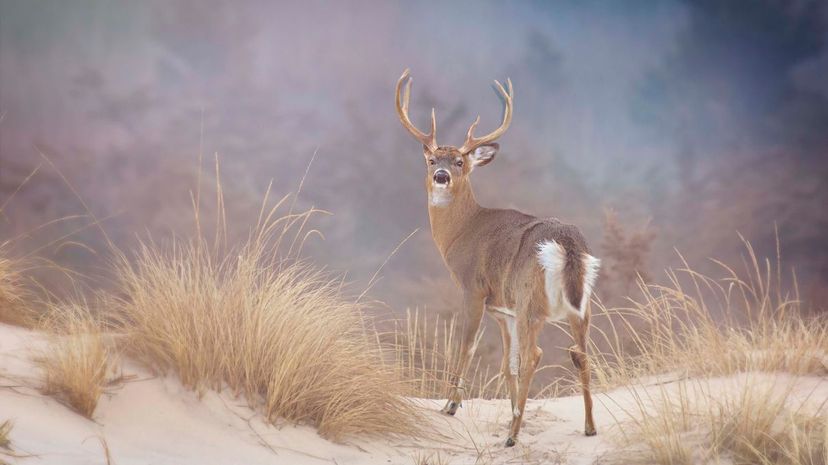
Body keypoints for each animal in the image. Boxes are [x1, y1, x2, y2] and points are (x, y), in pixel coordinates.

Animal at [392, 69, 600, 446]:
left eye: (459, 162)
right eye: (431, 160)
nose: (440, 176)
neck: (463, 232)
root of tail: (567, 244)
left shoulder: (474, 290)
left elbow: (466, 346)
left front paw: (450, 405)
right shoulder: (504, 311)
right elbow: (508, 365)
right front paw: (511, 411)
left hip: (531, 301)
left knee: (536, 355)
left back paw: (513, 436)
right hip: (580, 307)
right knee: (579, 353)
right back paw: (589, 426)